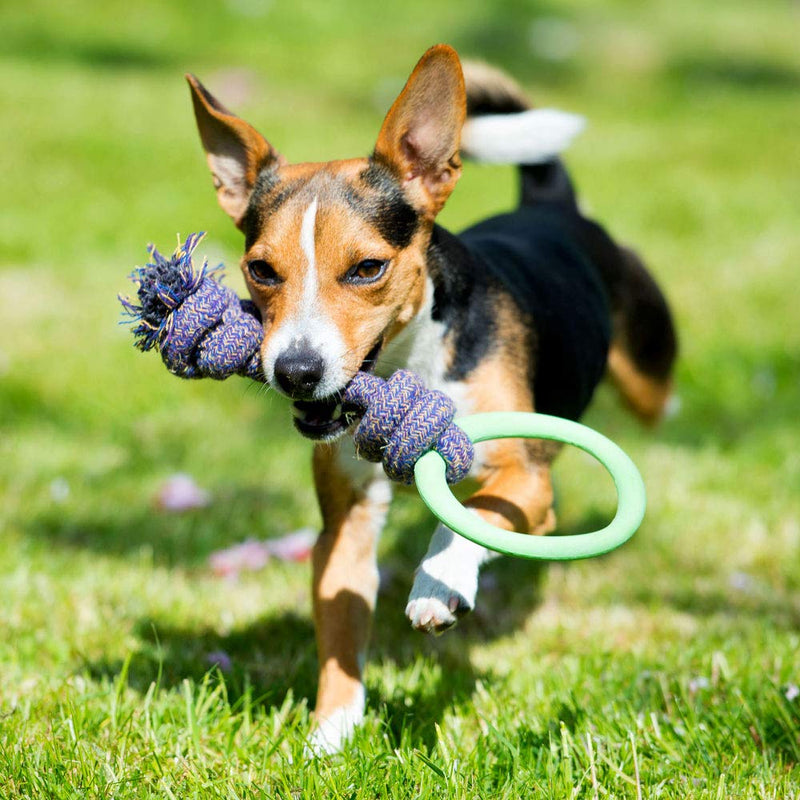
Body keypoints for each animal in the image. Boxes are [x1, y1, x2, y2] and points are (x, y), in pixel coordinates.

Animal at [186, 43, 676, 752]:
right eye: (261, 269)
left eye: (368, 268)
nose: (296, 371)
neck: (410, 367)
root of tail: (549, 203)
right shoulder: (347, 520)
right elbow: (340, 623)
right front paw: (330, 733)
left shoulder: (527, 484)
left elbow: (472, 515)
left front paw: (437, 586)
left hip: (646, 376)